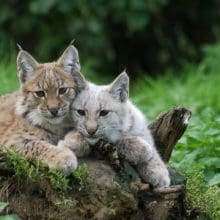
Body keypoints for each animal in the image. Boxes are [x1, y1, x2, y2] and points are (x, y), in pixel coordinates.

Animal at [0, 44, 85, 174]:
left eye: (62, 90)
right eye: (40, 93)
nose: (54, 110)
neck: (57, 126)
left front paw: (71, 142)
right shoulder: (10, 141)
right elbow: (36, 144)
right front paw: (62, 157)